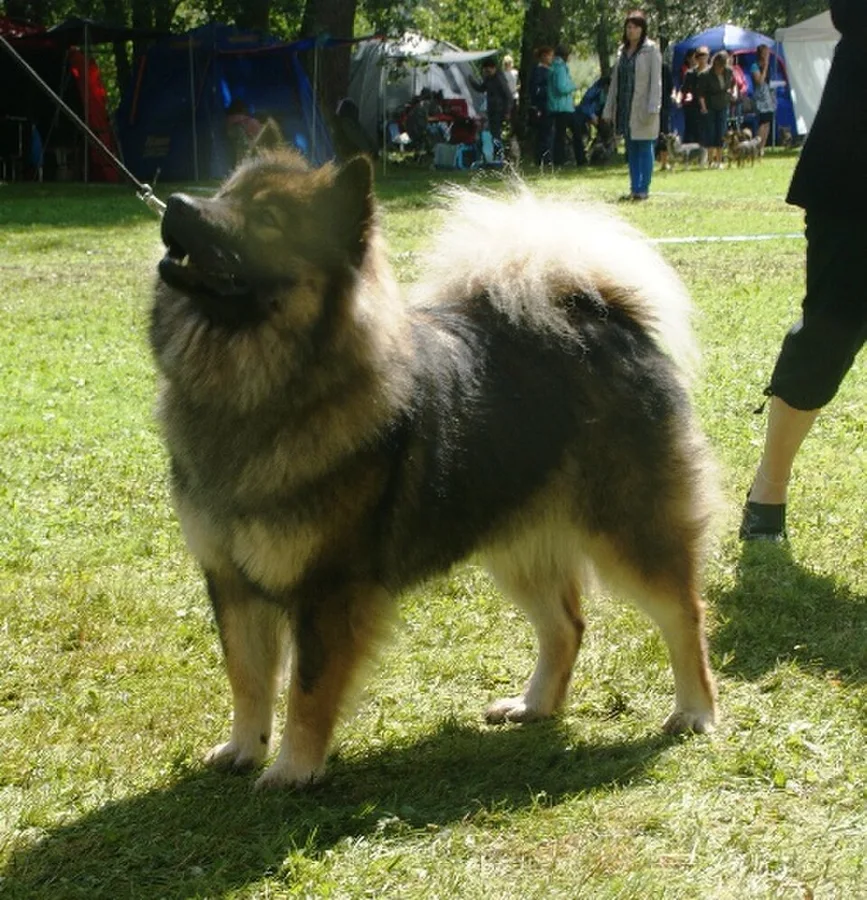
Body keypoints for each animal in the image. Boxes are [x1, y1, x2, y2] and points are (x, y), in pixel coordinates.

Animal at [150, 148, 719, 789]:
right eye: (225, 192)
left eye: (268, 218)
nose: (177, 204)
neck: (258, 393)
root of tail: (608, 317)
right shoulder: (229, 579)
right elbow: (247, 679)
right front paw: (244, 748)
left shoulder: (327, 589)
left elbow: (308, 689)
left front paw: (293, 768)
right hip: (517, 543)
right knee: (566, 626)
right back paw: (534, 705)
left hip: (628, 532)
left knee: (683, 614)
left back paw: (695, 711)